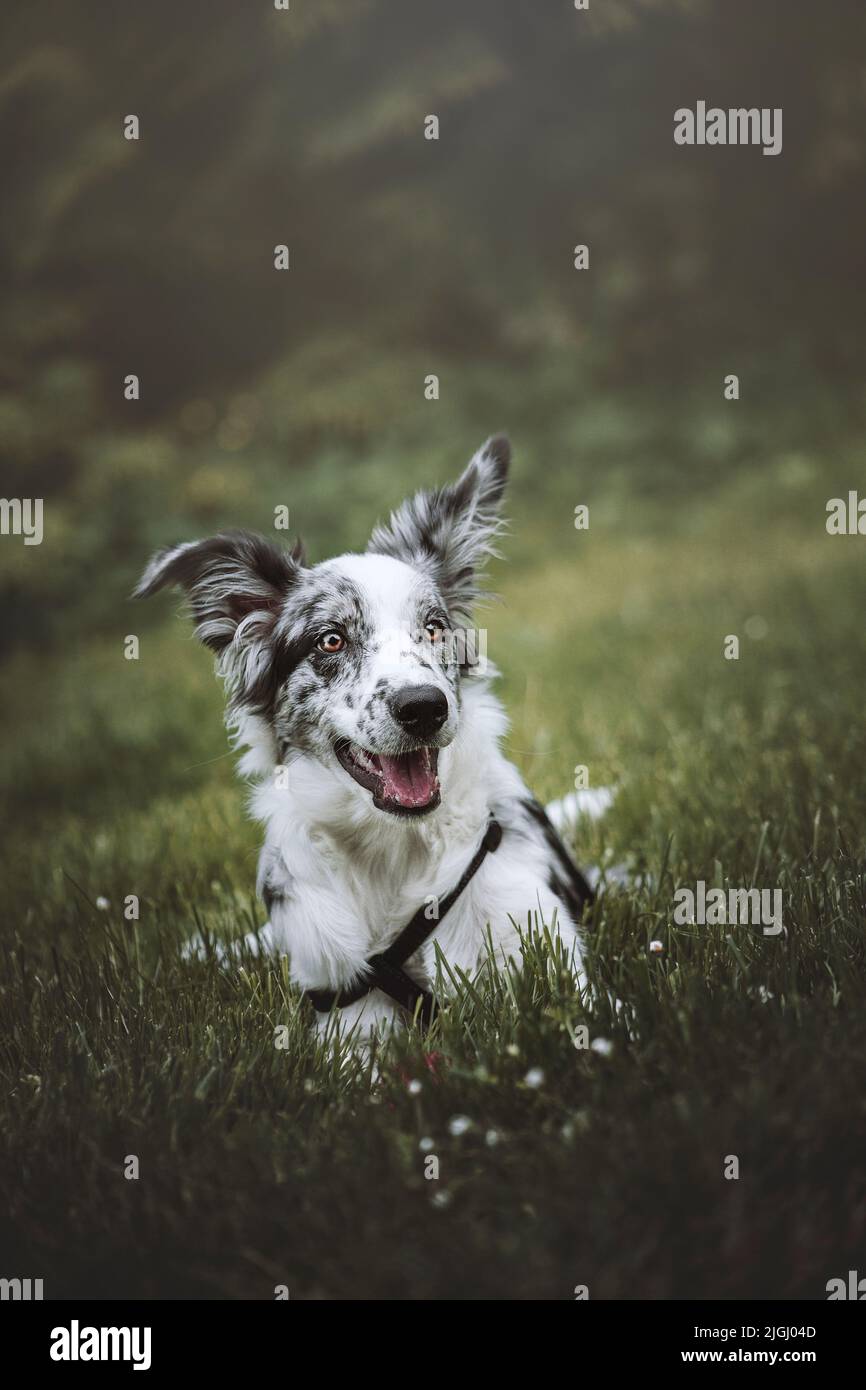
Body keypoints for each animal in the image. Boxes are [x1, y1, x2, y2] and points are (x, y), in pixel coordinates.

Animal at [135, 439, 594, 1039]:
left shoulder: (540, 949)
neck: (394, 849)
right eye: (331, 640)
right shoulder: (349, 1014)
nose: (424, 707)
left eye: (433, 628)